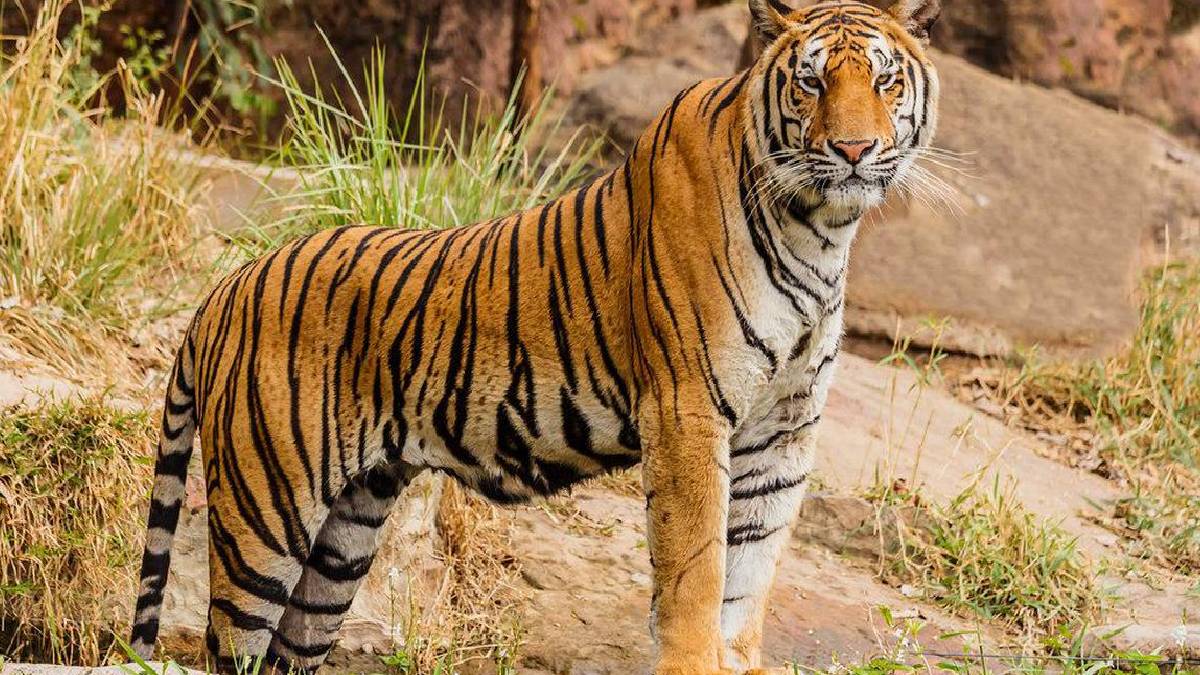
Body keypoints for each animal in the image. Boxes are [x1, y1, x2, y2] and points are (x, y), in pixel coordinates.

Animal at [128, 0, 941, 672]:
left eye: (885, 82)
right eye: (810, 83)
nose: (853, 150)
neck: (820, 230)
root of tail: (224, 288)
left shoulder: (783, 431)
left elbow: (748, 577)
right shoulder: (687, 411)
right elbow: (697, 571)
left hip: (344, 538)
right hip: (264, 513)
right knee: (230, 644)